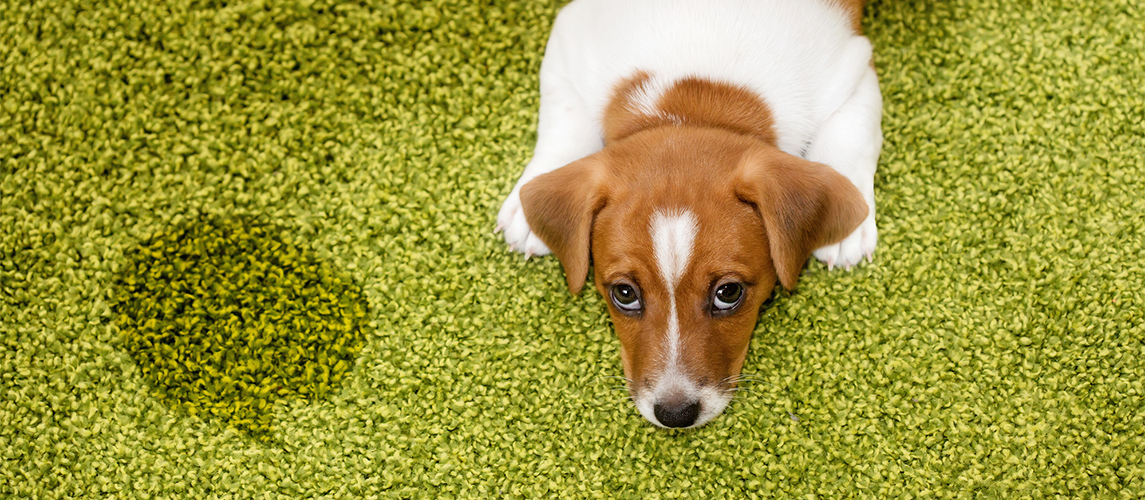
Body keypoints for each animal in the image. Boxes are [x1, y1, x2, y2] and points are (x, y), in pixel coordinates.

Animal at [497, 0, 880, 428]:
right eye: (624, 293)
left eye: (729, 293)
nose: (675, 414)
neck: (691, 102)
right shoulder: (567, 44)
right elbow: (561, 123)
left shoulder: (853, 71)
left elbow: (851, 139)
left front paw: (849, 225)